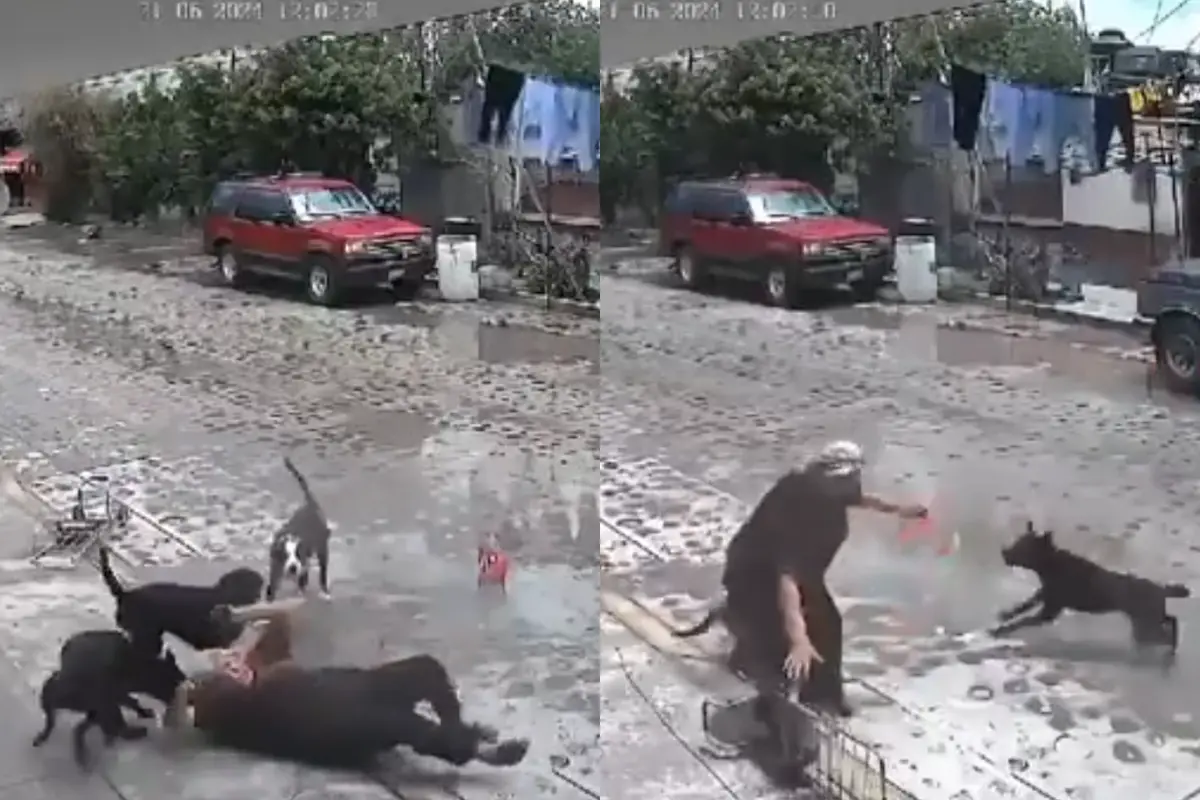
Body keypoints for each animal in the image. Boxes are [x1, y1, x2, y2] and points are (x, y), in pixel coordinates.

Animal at [32, 628, 184, 767]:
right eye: (175, 683)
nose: (185, 682)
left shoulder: (114, 696)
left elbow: (130, 702)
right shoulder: (111, 695)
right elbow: (127, 705)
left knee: (83, 725)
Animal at [183, 652, 530, 772]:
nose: (232, 663)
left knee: (428, 673)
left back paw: (477, 731)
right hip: (384, 718)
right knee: (434, 734)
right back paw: (489, 748)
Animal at [267, 455, 333, 599]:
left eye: (298, 554)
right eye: (285, 555)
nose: (293, 567)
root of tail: (310, 503)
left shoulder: (303, 563)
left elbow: (302, 580)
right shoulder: (275, 568)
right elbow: (272, 586)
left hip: (322, 549)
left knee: (322, 572)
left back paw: (324, 591)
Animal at [993, 520, 1190, 657]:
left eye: (1023, 547)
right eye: (1017, 541)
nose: (1004, 553)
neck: (1052, 564)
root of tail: (1161, 589)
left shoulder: (1049, 611)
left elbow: (1024, 620)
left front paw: (1000, 630)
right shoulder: (1045, 595)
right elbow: (1024, 605)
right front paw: (1005, 614)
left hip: (1146, 626)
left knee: (1165, 633)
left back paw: (1169, 649)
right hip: (1149, 621)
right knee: (1171, 620)